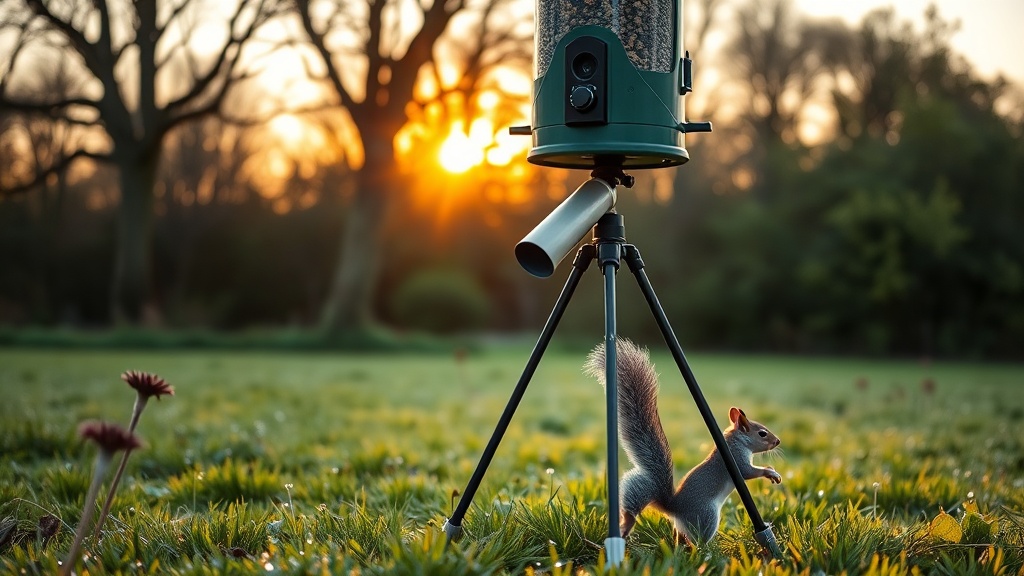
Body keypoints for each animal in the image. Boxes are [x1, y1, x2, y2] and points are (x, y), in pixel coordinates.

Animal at [584, 338, 782, 546]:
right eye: (762, 433)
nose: (777, 441)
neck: (736, 441)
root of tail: (675, 510)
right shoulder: (736, 458)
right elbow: (747, 473)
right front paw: (770, 472)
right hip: (708, 516)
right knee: (697, 541)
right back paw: (703, 549)